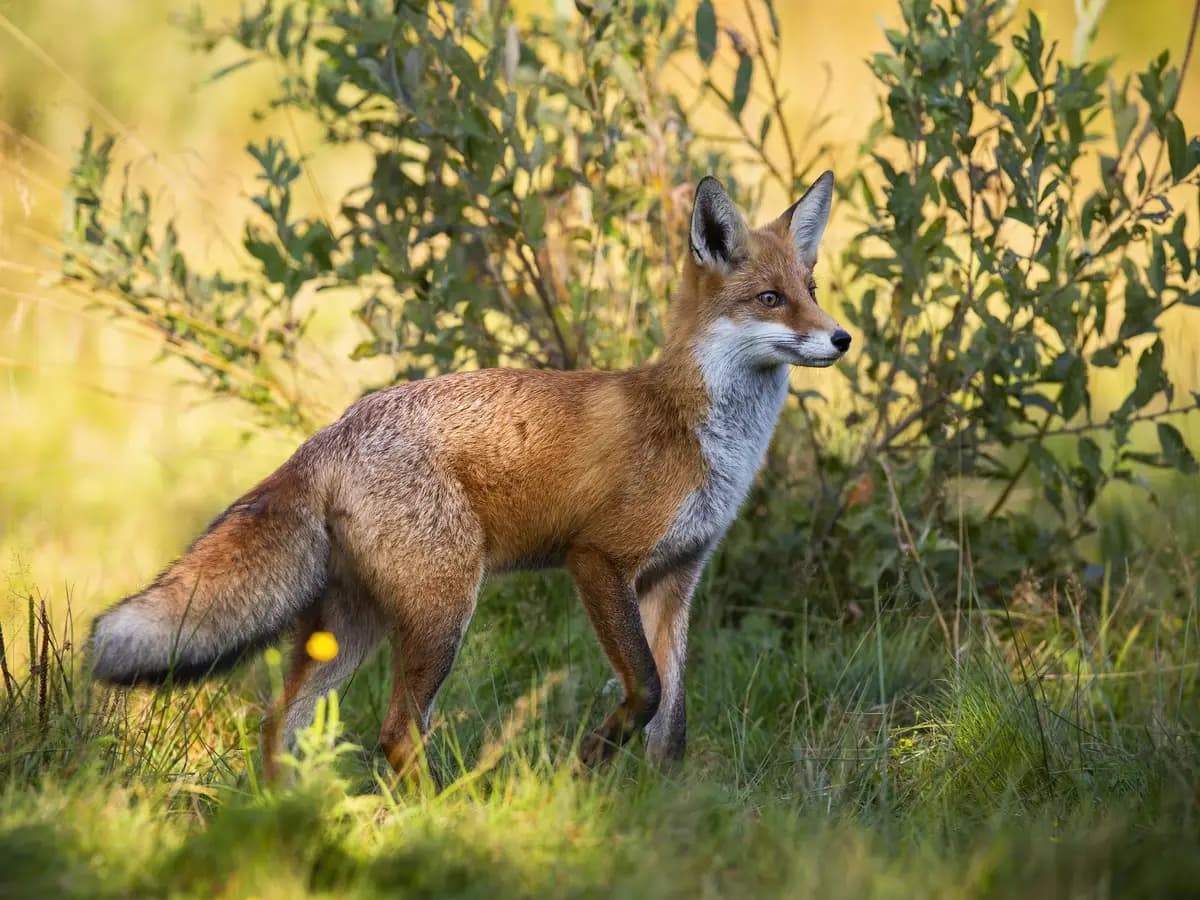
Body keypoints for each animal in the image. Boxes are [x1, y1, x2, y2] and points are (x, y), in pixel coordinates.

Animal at [88, 172, 849, 777]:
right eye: (771, 299)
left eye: (811, 289)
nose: (842, 337)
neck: (702, 434)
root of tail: (328, 436)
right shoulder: (600, 559)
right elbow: (646, 691)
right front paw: (586, 767)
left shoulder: (676, 579)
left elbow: (672, 730)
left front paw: (664, 815)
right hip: (443, 612)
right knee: (395, 733)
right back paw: (434, 813)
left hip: (352, 627)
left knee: (280, 726)